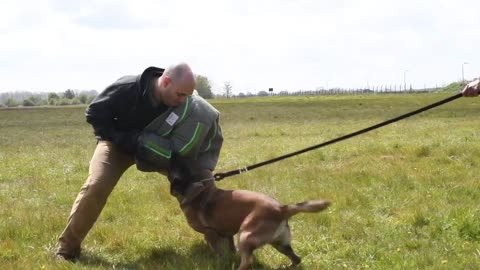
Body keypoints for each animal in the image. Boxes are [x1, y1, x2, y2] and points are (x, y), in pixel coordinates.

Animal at [169, 161, 330, 268]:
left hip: (245, 235)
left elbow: (218, 253)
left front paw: (220, 261)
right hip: (279, 243)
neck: (195, 191)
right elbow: (230, 250)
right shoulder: (227, 234)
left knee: (247, 262)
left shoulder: (210, 234)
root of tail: (282, 209)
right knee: (297, 259)